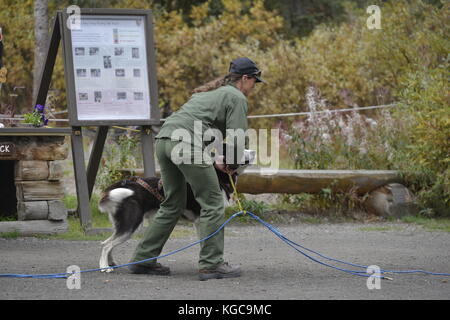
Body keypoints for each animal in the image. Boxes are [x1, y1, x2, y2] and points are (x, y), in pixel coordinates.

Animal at [97, 148, 256, 272]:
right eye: (239, 149)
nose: (254, 151)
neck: (219, 175)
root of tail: (126, 184)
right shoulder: (204, 219)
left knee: (107, 243)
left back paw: (111, 263)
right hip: (131, 226)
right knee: (106, 245)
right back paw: (104, 267)